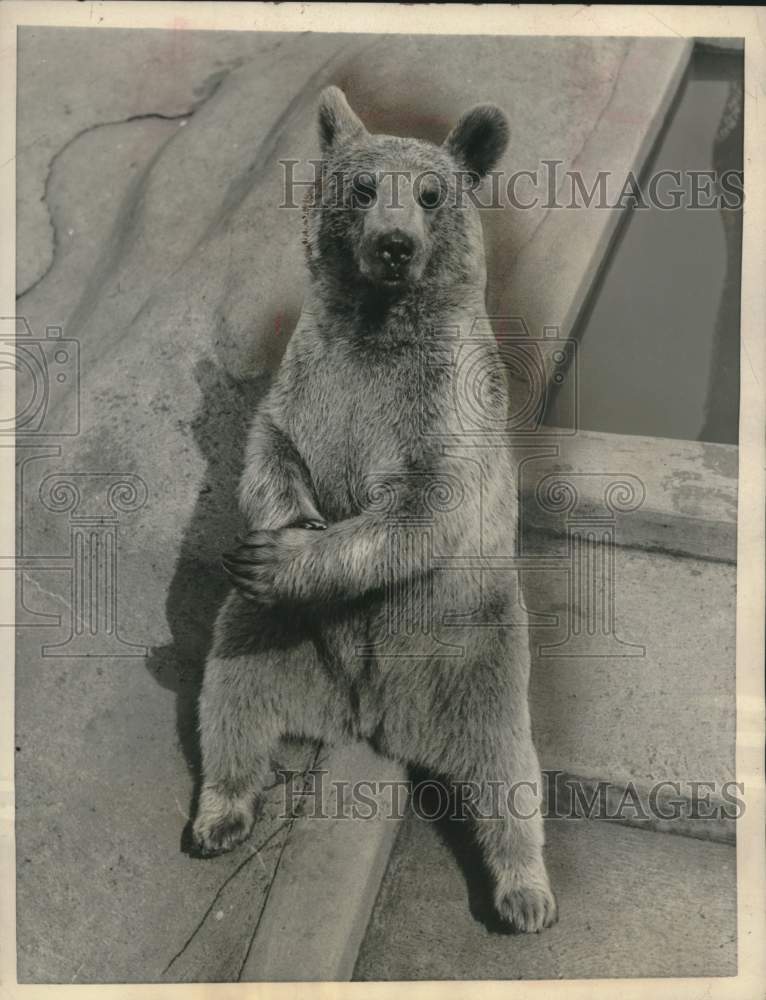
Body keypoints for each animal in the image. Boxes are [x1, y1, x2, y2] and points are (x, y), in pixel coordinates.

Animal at [191, 86, 557, 933]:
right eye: (362, 188)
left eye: (429, 194)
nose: (393, 245)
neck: (375, 322)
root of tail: (368, 713)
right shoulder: (315, 374)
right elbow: (273, 446)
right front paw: (276, 531)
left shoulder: (442, 400)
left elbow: (425, 504)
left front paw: (287, 553)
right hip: (276, 637)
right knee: (230, 696)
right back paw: (220, 813)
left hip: (473, 644)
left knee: (509, 770)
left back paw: (524, 892)